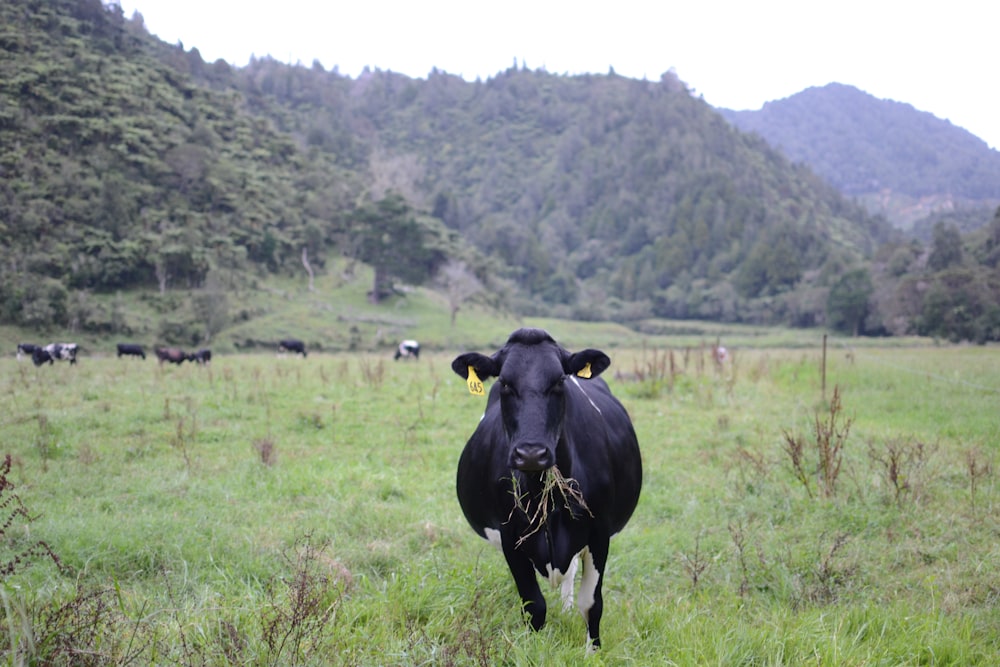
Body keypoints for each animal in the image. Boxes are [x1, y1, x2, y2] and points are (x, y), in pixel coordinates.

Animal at [452, 328, 640, 652]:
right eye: (504, 382)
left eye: (559, 381)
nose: (531, 453)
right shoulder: (510, 537)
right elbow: (533, 605)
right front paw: (532, 651)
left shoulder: (599, 534)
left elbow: (592, 603)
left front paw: (592, 652)